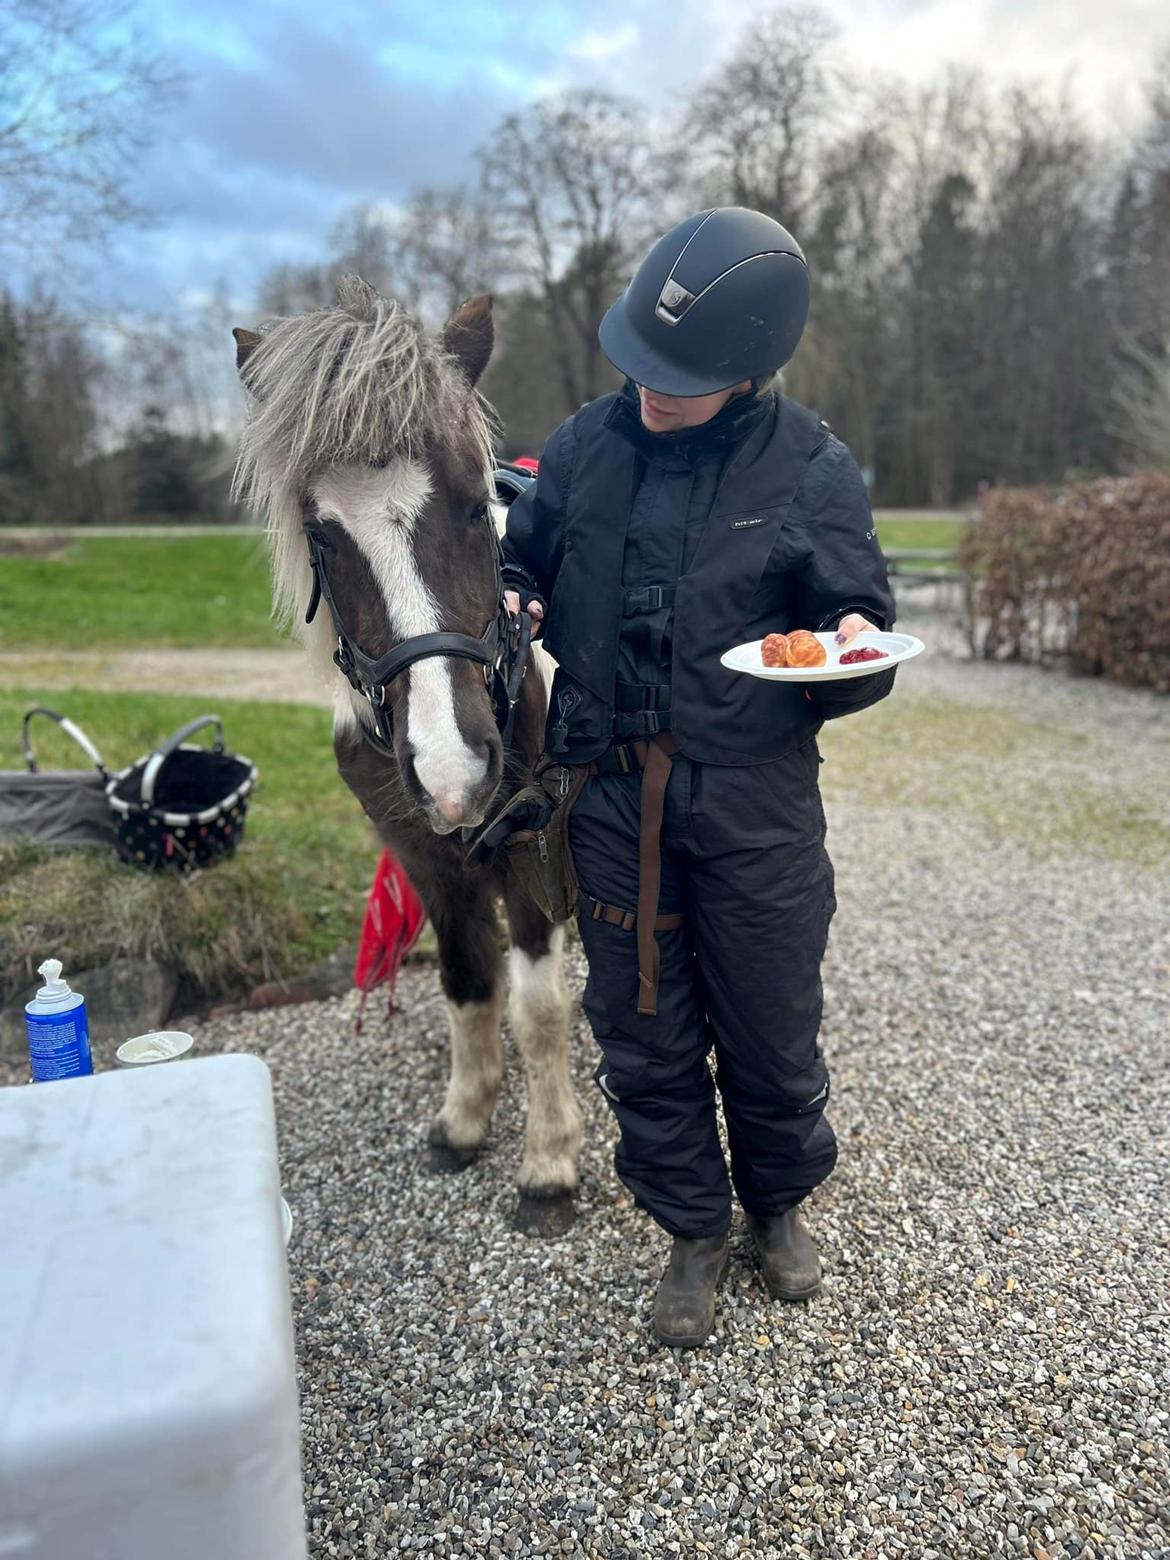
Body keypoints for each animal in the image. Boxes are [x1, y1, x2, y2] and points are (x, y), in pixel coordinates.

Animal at [233, 274, 586, 1235]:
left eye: (474, 506)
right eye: (322, 536)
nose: (455, 767)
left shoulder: (530, 850)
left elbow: (539, 1007)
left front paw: (549, 1161)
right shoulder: (429, 859)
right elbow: (469, 982)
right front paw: (466, 1118)